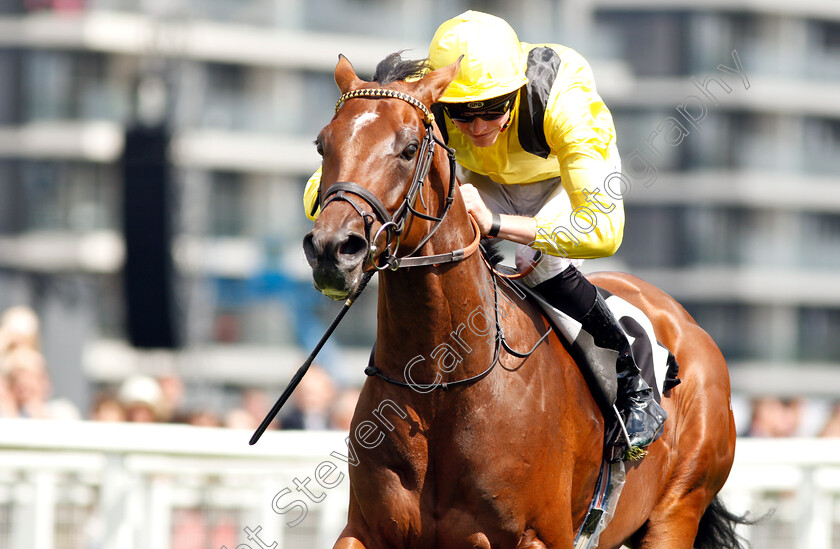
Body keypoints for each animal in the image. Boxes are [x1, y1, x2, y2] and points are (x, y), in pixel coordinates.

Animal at [304, 54, 740, 548]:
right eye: (322, 145)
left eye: (410, 148)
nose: (333, 249)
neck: (441, 383)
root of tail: (687, 324)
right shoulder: (365, 531)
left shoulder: (539, 535)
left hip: (677, 509)